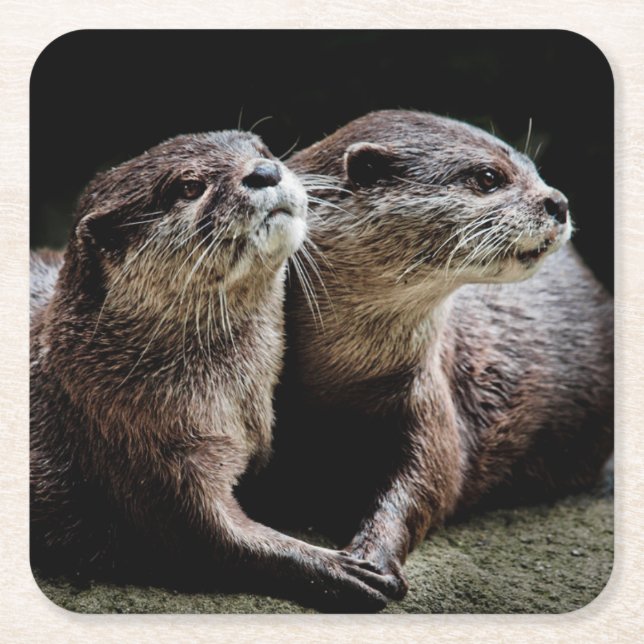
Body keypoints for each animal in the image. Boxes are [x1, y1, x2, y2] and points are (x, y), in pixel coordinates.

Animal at [30, 130, 400, 611]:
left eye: (262, 151)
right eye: (188, 187)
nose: (265, 171)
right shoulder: (140, 449)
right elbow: (208, 539)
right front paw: (339, 567)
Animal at [240, 110, 613, 603]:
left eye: (534, 169)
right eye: (489, 177)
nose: (559, 202)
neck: (342, 376)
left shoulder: (430, 395)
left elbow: (429, 483)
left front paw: (374, 557)